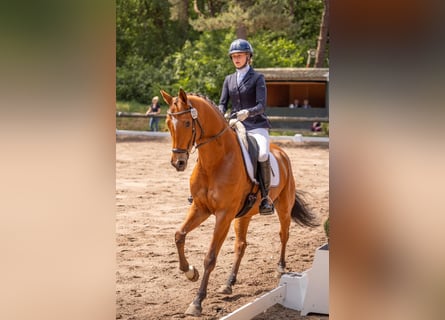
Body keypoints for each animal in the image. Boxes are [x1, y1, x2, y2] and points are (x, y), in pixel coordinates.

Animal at [160, 89, 316, 316]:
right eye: (168, 124)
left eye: (188, 123)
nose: (178, 163)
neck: (215, 162)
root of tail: (281, 152)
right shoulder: (200, 208)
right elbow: (179, 235)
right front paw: (190, 272)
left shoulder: (223, 215)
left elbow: (210, 257)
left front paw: (197, 302)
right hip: (244, 215)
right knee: (241, 245)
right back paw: (229, 283)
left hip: (283, 207)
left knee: (283, 234)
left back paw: (280, 267)